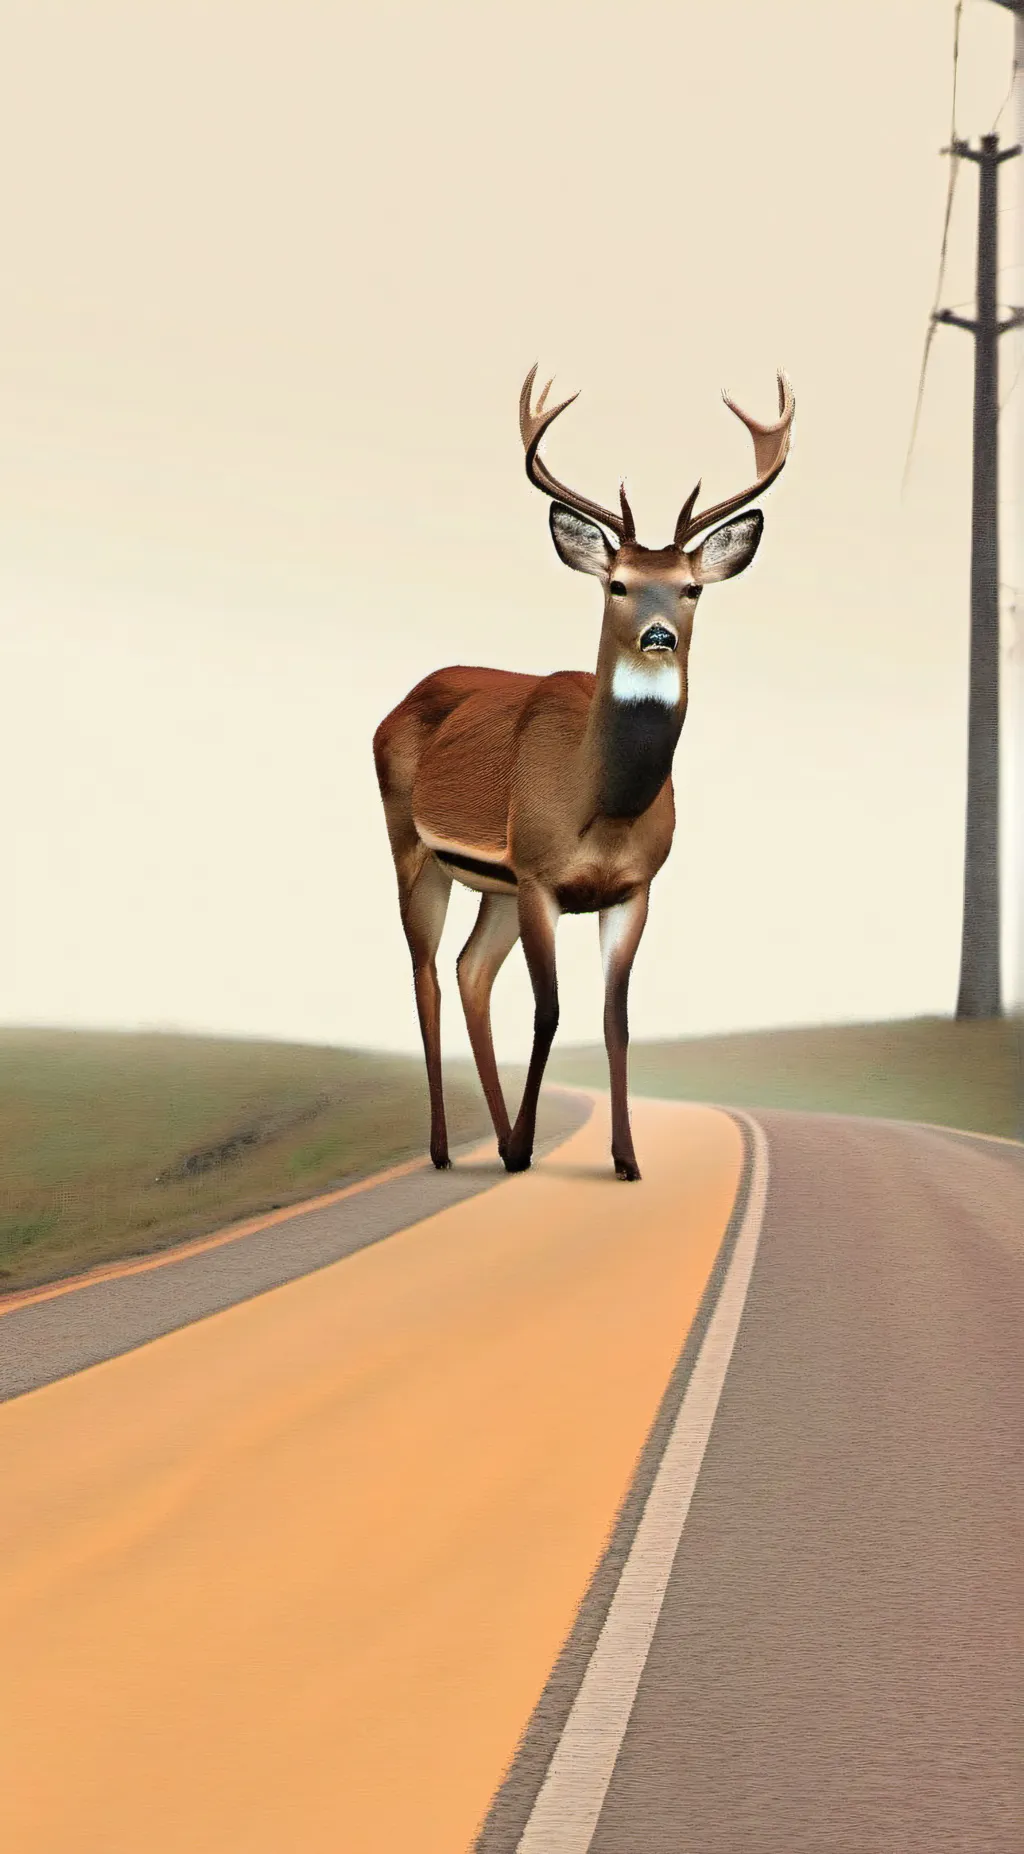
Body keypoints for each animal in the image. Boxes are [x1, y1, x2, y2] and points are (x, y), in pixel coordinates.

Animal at [373, 366, 794, 1181]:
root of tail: (398, 703)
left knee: (470, 971)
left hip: (493, 884)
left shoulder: (631, 888)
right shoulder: (539, 875)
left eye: (691, 587)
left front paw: (625, 1157)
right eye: (618, 584)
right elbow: (550, 1010)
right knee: (427, 974)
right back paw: (448, 1148)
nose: (658, 636)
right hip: (413, 848)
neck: (601, 805)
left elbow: (615, 1015)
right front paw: (526, 1148)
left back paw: (497, 1134)